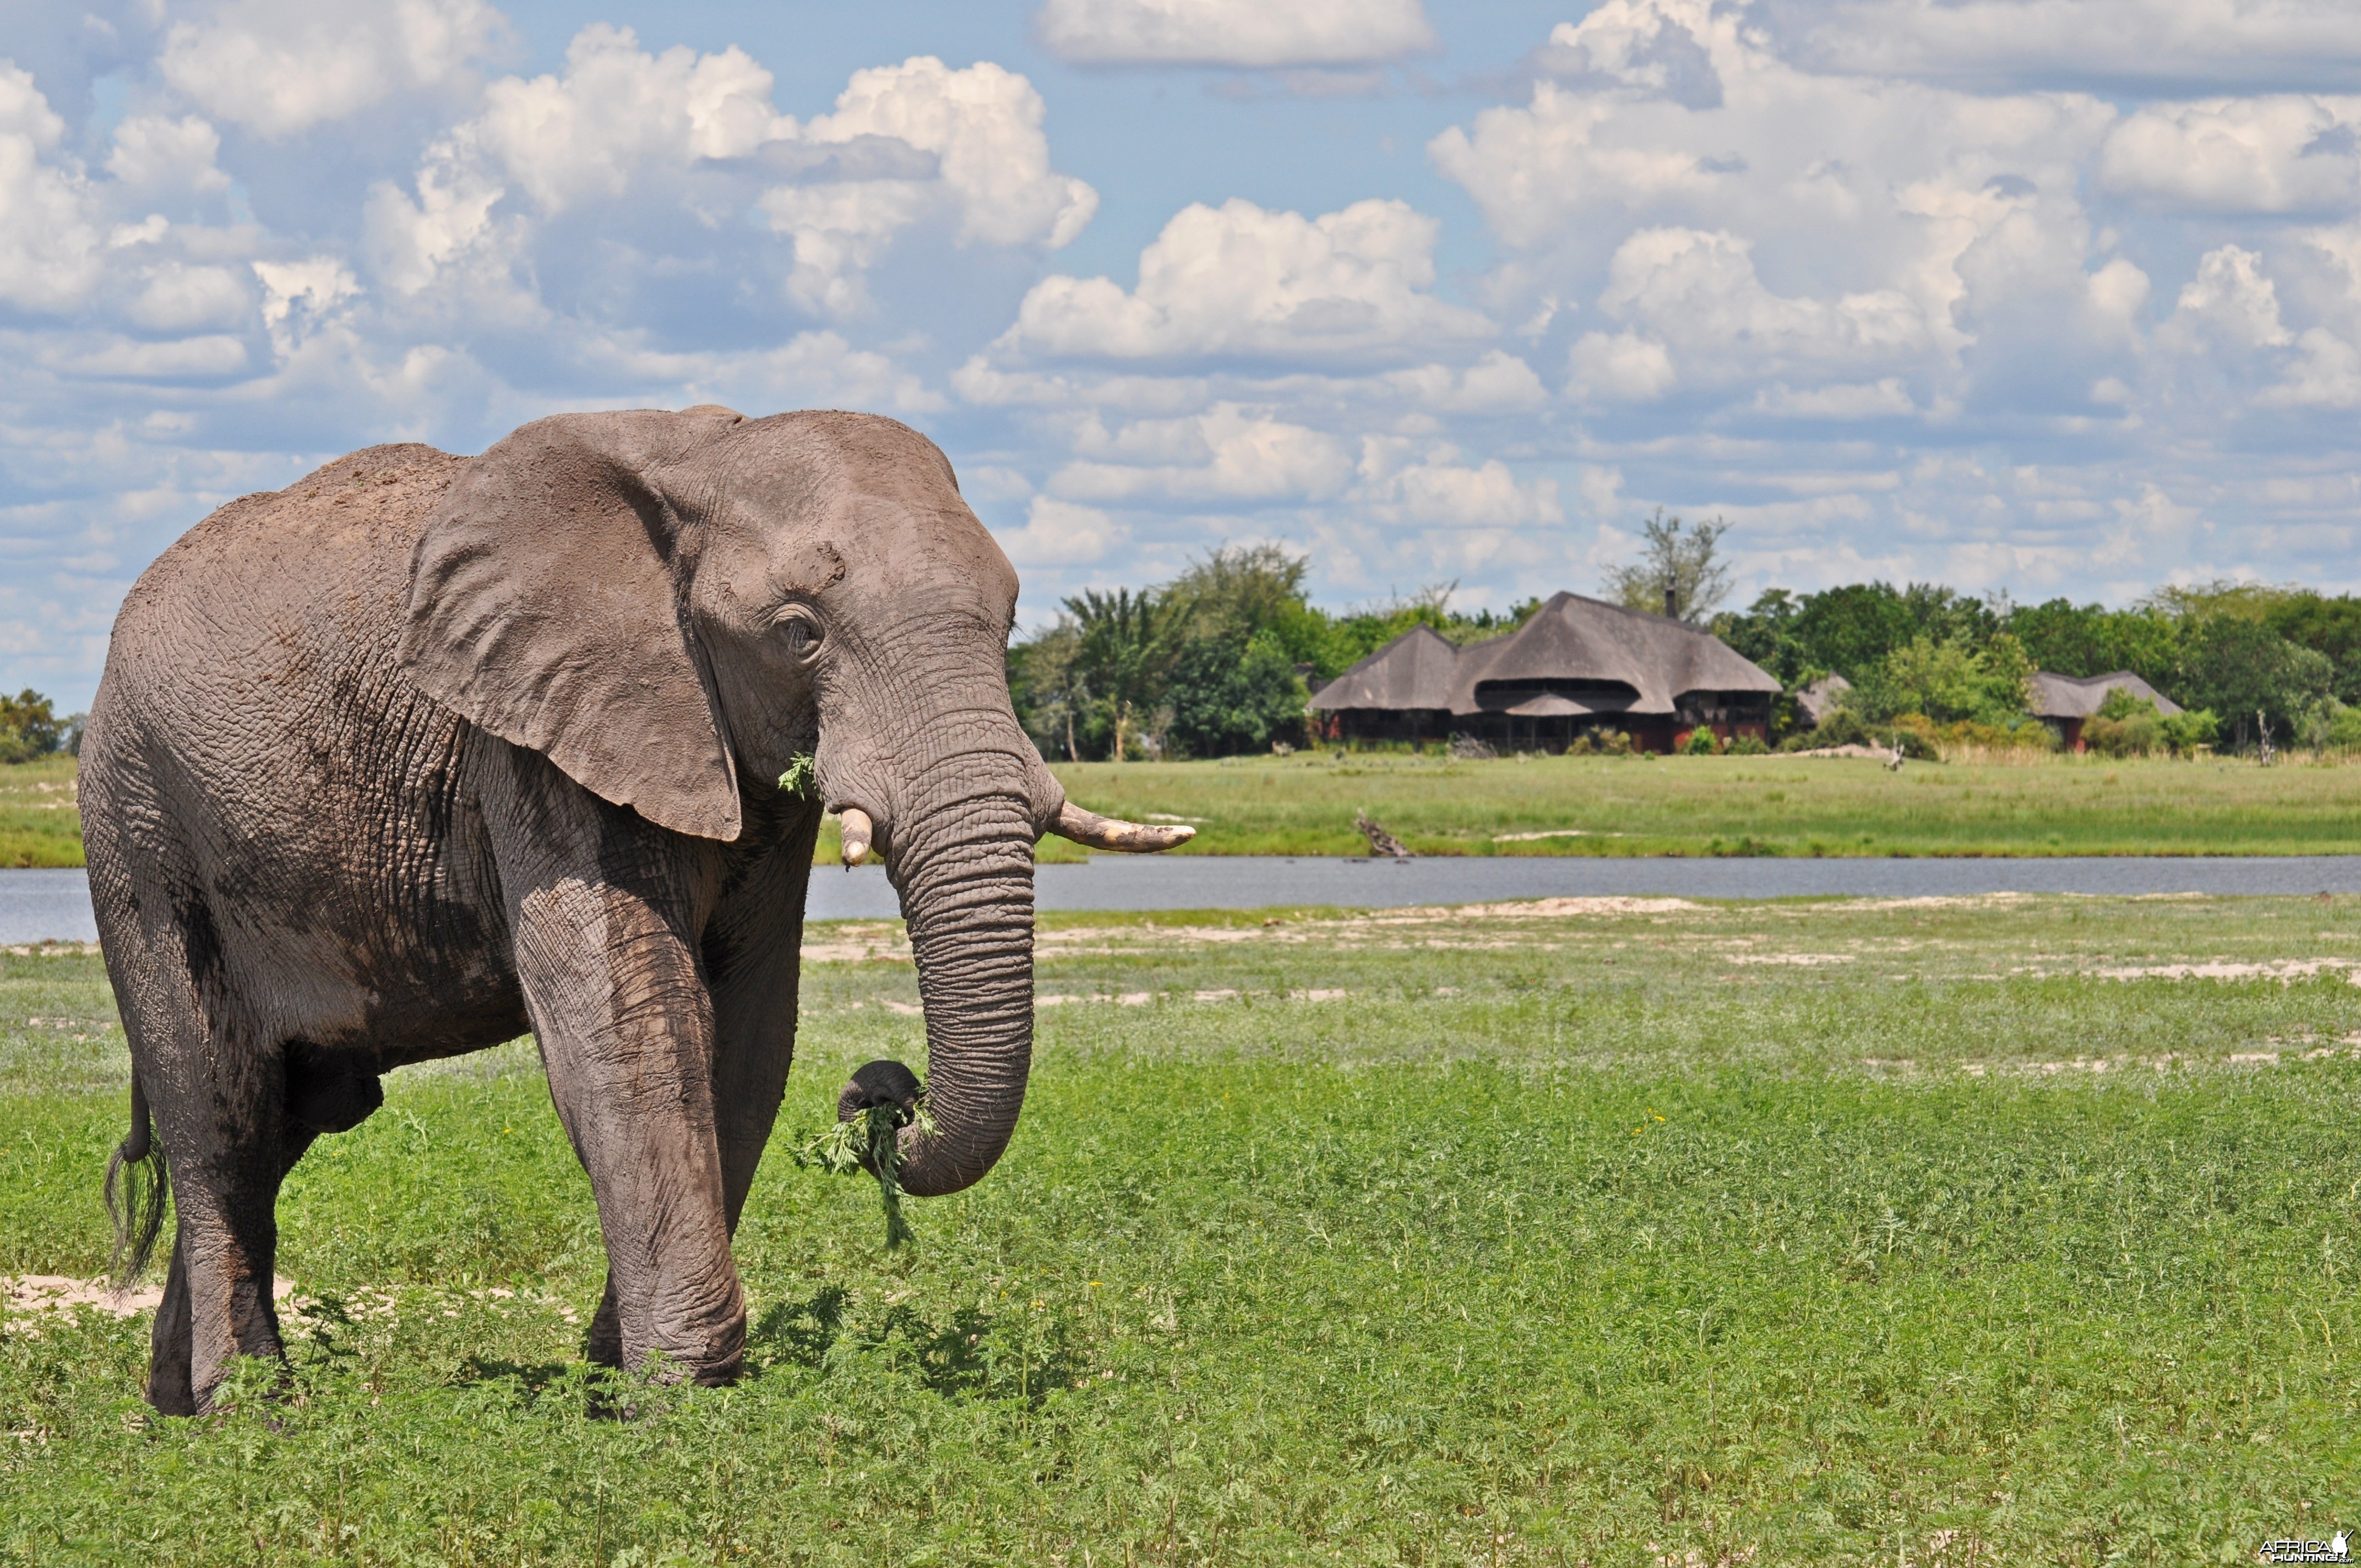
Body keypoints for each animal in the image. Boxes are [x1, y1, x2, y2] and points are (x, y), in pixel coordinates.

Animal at [80, 401, 1190, 1407]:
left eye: (1009, 622)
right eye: (799, 632)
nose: (883, 1093)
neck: (703, 457)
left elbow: (748, 1030)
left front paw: (615, 1373)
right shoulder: (535, 736)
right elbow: (631, 1020)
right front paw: (678, 1395)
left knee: (286, 1120)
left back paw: (173, 1404)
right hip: (137, 816)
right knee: (219, 1111)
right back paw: (250, 1413)